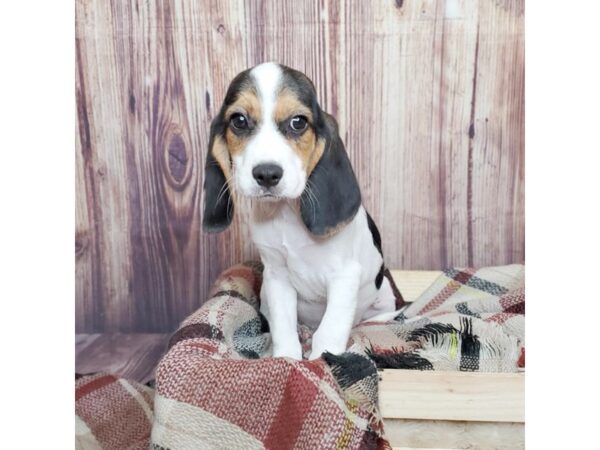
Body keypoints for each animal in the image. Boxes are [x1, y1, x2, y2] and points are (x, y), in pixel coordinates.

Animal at [203, 62, 404, 358]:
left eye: (298, 122)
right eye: (239, 120)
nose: (267, 174)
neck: (287, 213)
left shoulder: (344, 276)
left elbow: (329, 332)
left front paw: (322, 361)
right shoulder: (276, 277)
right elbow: (283, 329)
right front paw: (287, 359)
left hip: (385, 293)